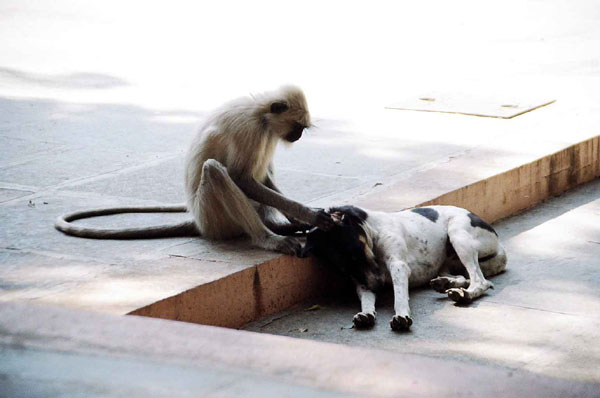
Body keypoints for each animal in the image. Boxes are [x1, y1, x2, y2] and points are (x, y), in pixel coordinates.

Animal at [54, 86, 336, 255]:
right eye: (297, 127)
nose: (298, 135)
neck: (261, 115)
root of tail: (199, 222)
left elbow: (262, 176)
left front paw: (300, 220)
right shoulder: (250, 129)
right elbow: (241, 178)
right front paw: (309, 215)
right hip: (214, 217)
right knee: (213, 170)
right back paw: (267, 238)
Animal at [300, 204, 506, 332]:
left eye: (356, 253)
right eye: (342, 269)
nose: (377, 287)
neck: (374, 232)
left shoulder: (398, 266)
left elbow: (399, 297)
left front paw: (402, 315)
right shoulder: (362, 281)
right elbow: (366, 300)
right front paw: (366, 313)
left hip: (458, 234)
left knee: (481, 281)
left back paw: (464, 294)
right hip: (447, 262)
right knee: (465, 276)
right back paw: (446, 283)